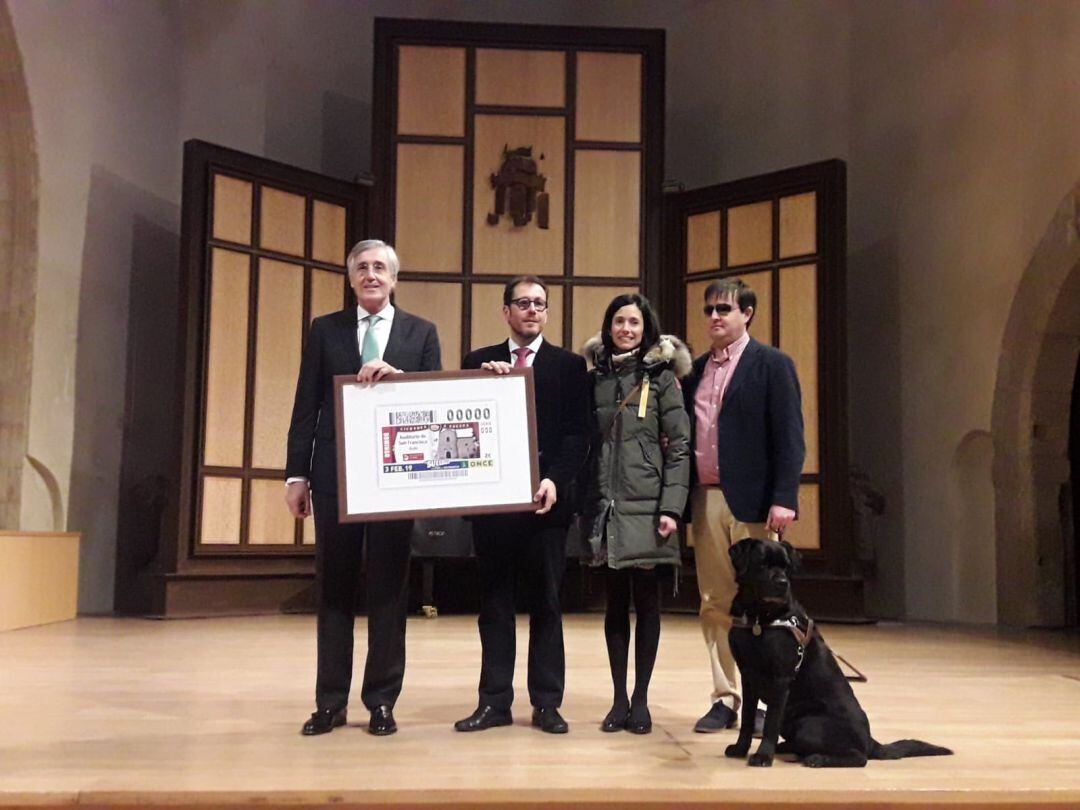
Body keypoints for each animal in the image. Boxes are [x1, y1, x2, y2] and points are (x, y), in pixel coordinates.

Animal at [721, 542, 950, 768]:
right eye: (762, 564)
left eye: (786, 567)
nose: (782, 583)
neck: (758, 620)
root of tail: (870, 740)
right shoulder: (748, 677)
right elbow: (747, 719)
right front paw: (740, 748)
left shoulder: (780, 679)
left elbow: (770, 724)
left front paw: (763, 756)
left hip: (809, 724)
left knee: (859, 757)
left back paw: (816, 758)